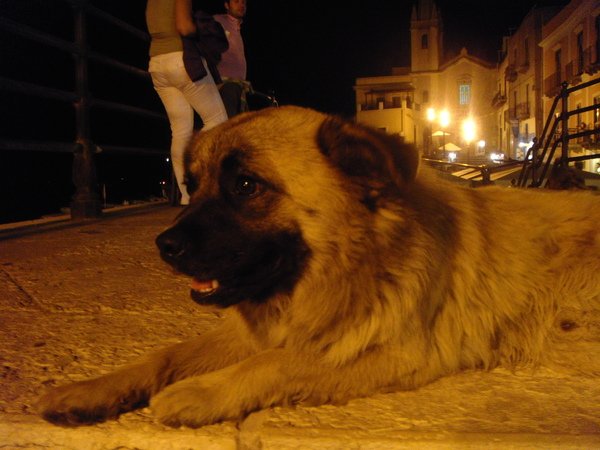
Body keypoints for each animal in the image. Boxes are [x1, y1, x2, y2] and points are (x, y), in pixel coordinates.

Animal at [37, 105, 600, 428]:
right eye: (191, 185)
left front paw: (202, 391)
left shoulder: (395, 351)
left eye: (246, 186)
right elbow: (165, 354)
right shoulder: (247, 330)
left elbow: (278, 362)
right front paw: (93, 389)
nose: (164, 244)